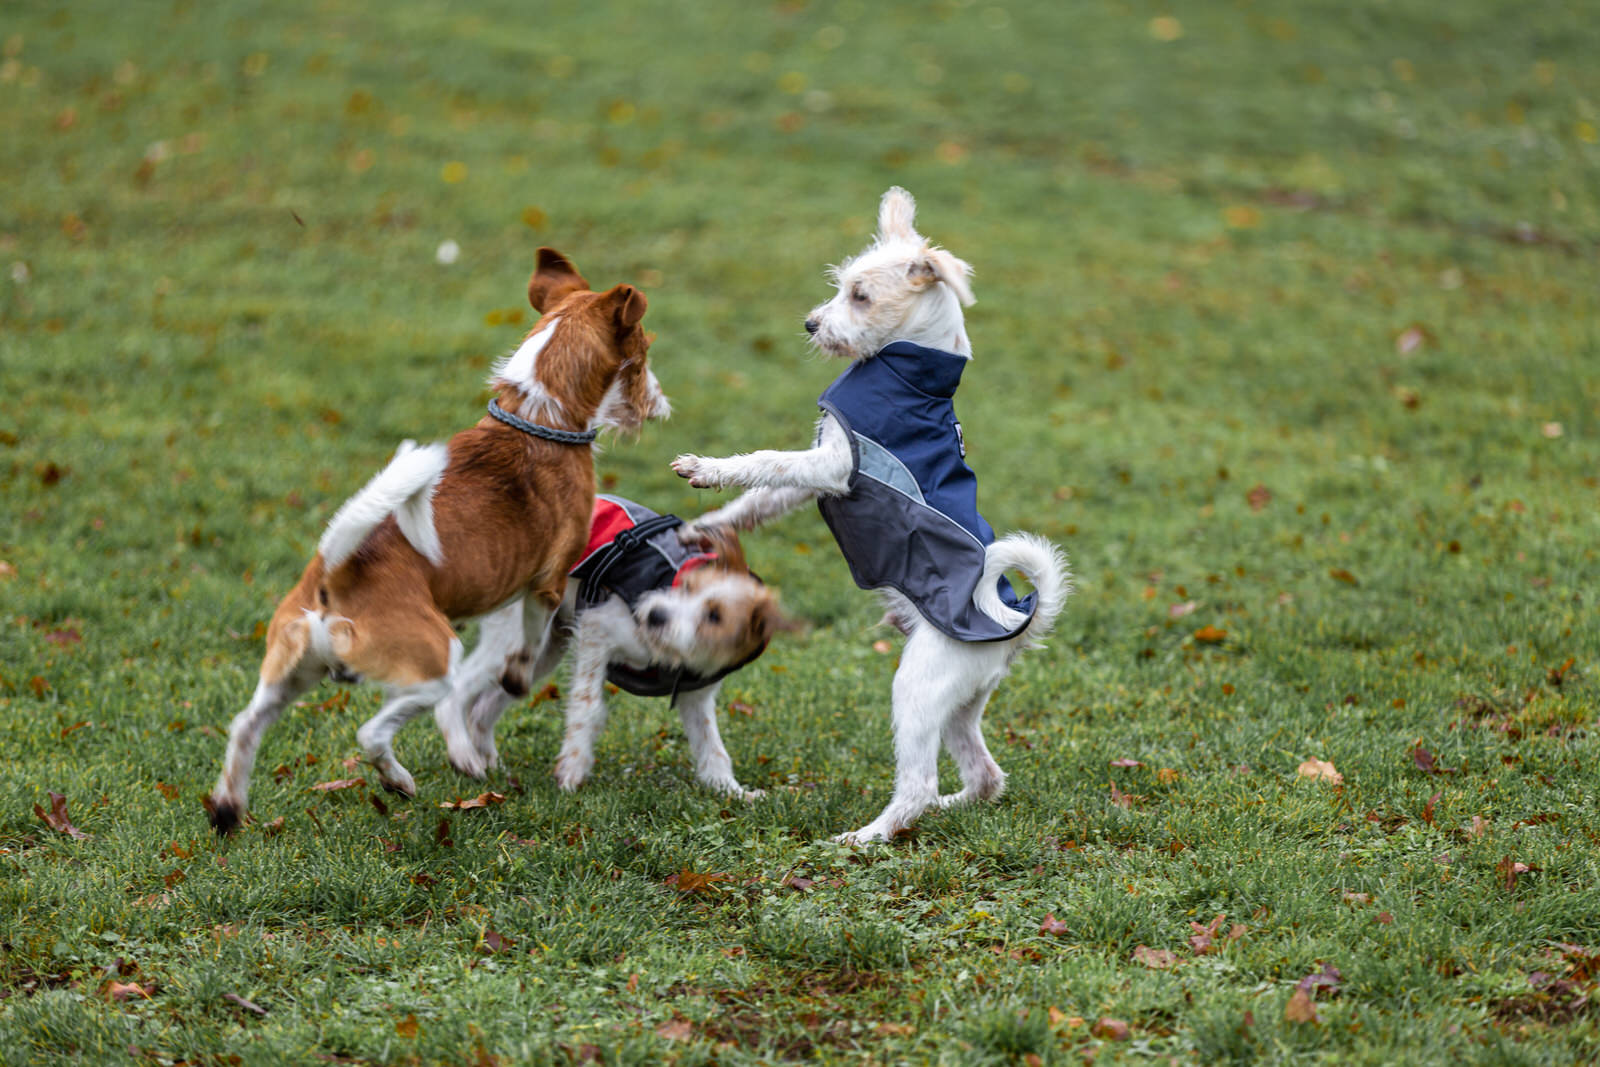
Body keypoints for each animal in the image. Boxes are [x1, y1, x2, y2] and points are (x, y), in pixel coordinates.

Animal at [208, 251, 668, 831]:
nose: (662, 405)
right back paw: (419, 774)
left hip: (290, 674)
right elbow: (523, 651)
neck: (537, 414)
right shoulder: (545, 583)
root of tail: (336, 572)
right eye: (644, 356)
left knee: (246, 724)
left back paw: (228, 808)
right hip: (434, 662)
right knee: (382, 729)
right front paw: (511, 688)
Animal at [668, 187, 1068, 844]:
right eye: (841, 288)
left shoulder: (832, 465)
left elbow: (765, 462)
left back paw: (866, 837)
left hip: (917, 687)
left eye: (860, 296)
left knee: (917, 783)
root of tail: (1019, 623)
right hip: (960, 703)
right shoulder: (815, 477)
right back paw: (949, 807)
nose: (811, 324)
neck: (911, 372)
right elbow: (761, 498)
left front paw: (708, 467)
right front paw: (702, 527)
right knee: (985, 774)